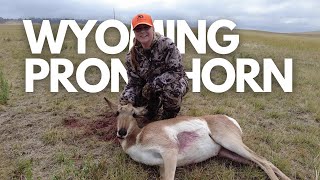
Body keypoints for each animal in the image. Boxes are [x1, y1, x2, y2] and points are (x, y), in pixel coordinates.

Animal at [106, 98, 292, 180]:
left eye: (134, 114)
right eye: (117, 113)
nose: (121, 132)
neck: (137, 137)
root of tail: (228, 118)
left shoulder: (170, 151)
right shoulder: (161, 165)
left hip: (230, 143)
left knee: (264, 160)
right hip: (229, 152)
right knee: (261, 162)